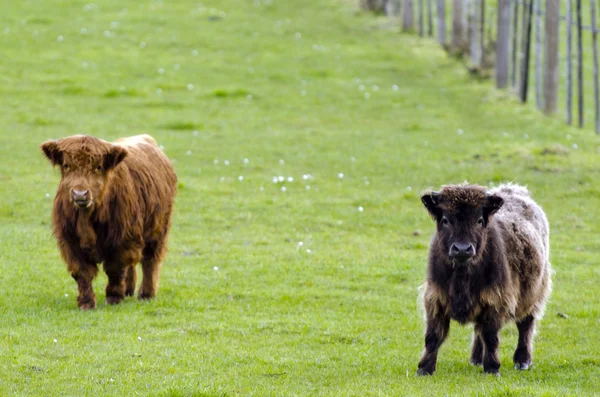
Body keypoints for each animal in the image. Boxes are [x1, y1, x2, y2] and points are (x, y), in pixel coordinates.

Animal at [41, 135, 177, 308]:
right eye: (66, 165)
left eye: (98, 167)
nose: (80, 194)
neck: (87, 220)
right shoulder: (70, 242)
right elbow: (82, 272)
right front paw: (86, 303)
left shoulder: (123, 240)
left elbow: (115, 269)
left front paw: (114, 297)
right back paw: (129, 290)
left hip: (158, 229)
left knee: (149, 261)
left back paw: (146, 294)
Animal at [418, 183, 552, 374]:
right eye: (445, 220)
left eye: (479, 220)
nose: (462, 249)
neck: (462, 277)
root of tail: (515, 189)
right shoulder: (435, 298)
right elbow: (433, 336)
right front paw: (425, 368)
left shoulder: (495, 299)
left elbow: (490, 336)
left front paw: (492, 367)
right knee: (478, 329)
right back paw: (476, 358)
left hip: (534, 292)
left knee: (525, 324)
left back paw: (522, 360)